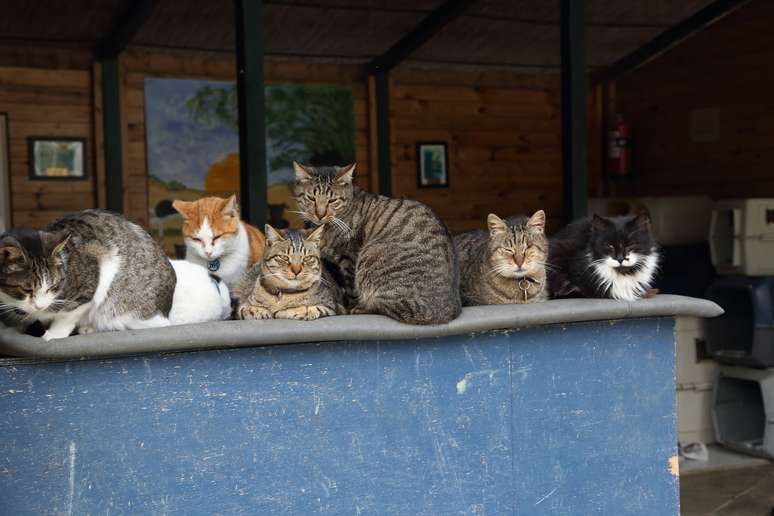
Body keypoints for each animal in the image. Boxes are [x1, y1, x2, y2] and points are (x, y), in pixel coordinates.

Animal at [0, 209, 176, 338]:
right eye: (26, 289)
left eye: (53, 286)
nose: (40, 306)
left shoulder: (88, 284)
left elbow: (68, 315)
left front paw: (53, 335)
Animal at [292, 161, 460, 324]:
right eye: (311, 198)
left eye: (332, 200)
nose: (320, 215)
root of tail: (445, 312)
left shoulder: (349, 257)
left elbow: (351, 289)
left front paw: (348, 306)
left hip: (371, 254)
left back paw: (361, 308)